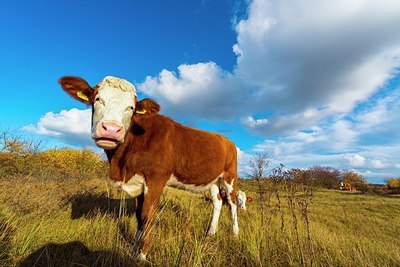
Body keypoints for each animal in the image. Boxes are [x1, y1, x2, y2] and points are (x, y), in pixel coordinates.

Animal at [59, 76, 241, 262]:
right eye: (97, 99)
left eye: (131, 108)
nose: (111, 129)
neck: (121, 164)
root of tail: (225, 139)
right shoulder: (138, 183)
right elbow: (139, 217)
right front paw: (134, 250)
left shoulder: (156, 180)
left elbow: (147, 216)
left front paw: (142, 255)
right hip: (213, 180)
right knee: (218, 201)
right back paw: (210, 233)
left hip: (230, 175)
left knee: (232, 202)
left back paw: (234, 233)